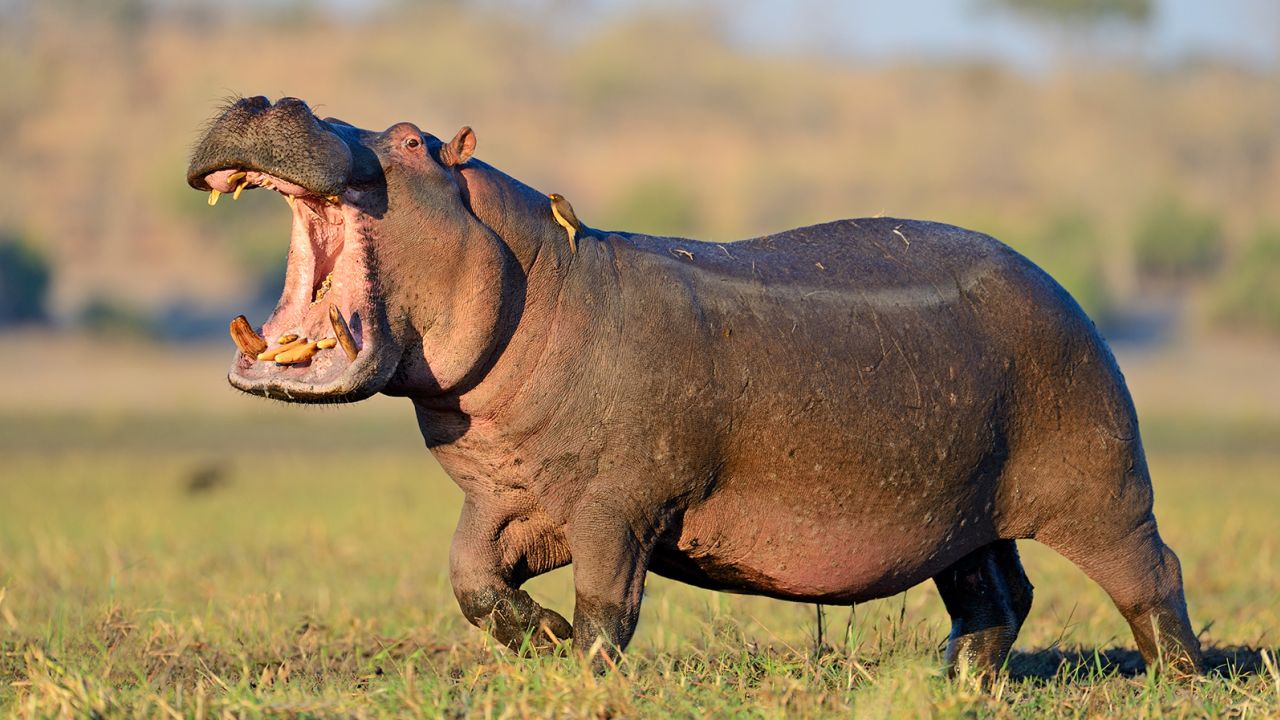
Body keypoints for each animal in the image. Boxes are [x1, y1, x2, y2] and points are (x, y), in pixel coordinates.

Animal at [186, 98, 1198, 676]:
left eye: (410, 140)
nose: (273, 95)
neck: (538, 273)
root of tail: (1060, 286)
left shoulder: (618, 502)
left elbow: (608, 605)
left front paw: (585, 673)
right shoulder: (504, 496)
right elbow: (471, 579)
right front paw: (540, 642)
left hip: (1105, 484)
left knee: (1154, 575)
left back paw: (1176, 678)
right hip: (963, 508)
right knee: (997, 594)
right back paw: (952, 681)